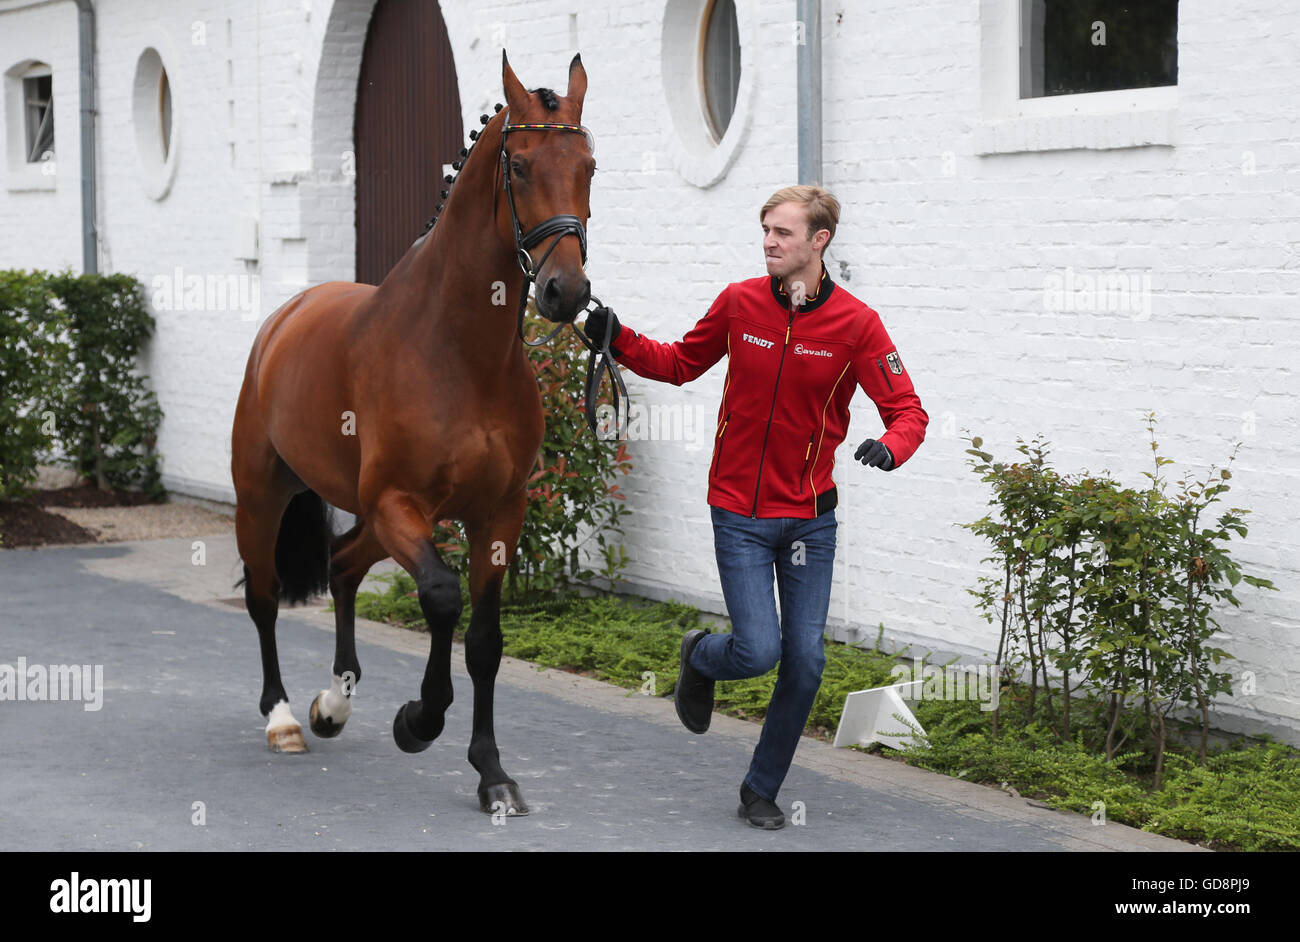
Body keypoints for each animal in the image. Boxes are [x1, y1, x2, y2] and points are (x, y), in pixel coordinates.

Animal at [231, 53, 595, 815]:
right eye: (519, 166)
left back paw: (332, 705)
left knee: (343, 564)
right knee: (264, 595)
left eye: (589, 165)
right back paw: (284, 718)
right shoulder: (403, 504)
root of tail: (286, 318)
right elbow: (442, 597)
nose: (566, 291)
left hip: (372, 519)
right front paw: (419, 721)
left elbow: (484, 638)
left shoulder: (499, 513)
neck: (457, 352)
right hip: (264, 495)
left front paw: (493, 774)